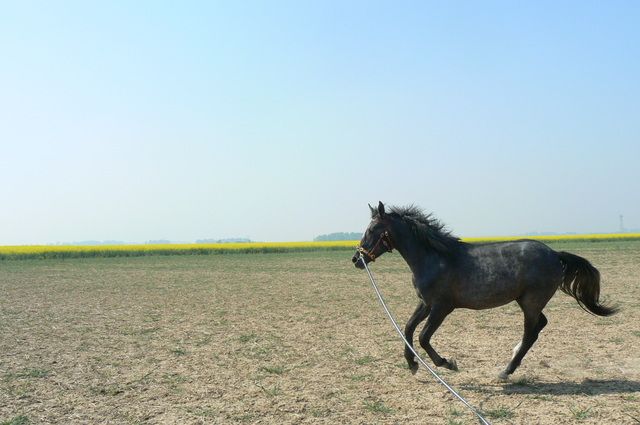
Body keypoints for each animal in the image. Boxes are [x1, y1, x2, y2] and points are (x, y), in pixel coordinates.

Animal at [352, 200, 616, 380]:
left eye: (372, 230)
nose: (357, 259)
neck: (434, 258)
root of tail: (555, 254)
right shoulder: (426, 303)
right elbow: (408, 328)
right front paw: (412, 364)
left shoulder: (442, 307)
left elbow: (423, 336)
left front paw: (447, 363)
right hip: (526, 301)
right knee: (540, 325)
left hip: (531, 302)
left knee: (531, 332)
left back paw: (506, 370)